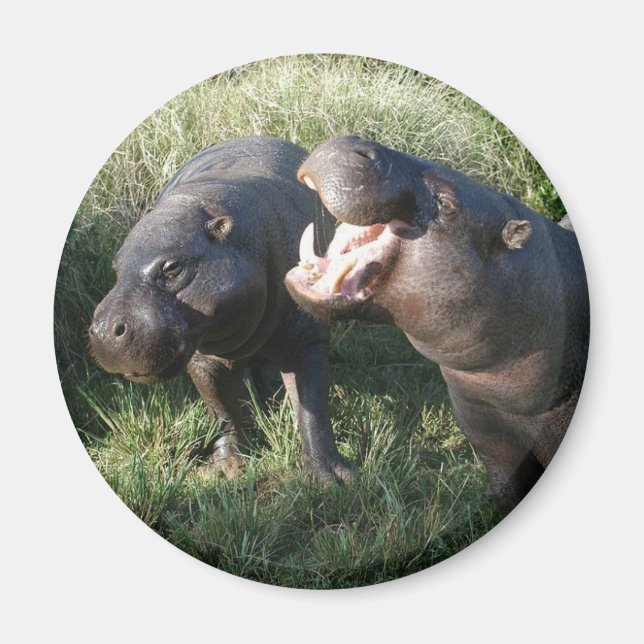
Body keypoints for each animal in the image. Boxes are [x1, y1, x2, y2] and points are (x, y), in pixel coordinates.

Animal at [89, 136, 352, 483]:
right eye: (116, 266)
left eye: (173, 267)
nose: (105, 330)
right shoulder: (203, 357)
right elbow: (223, 412)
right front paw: (224, 471)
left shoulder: (308, 341)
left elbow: (312, 410)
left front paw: (330, 479)